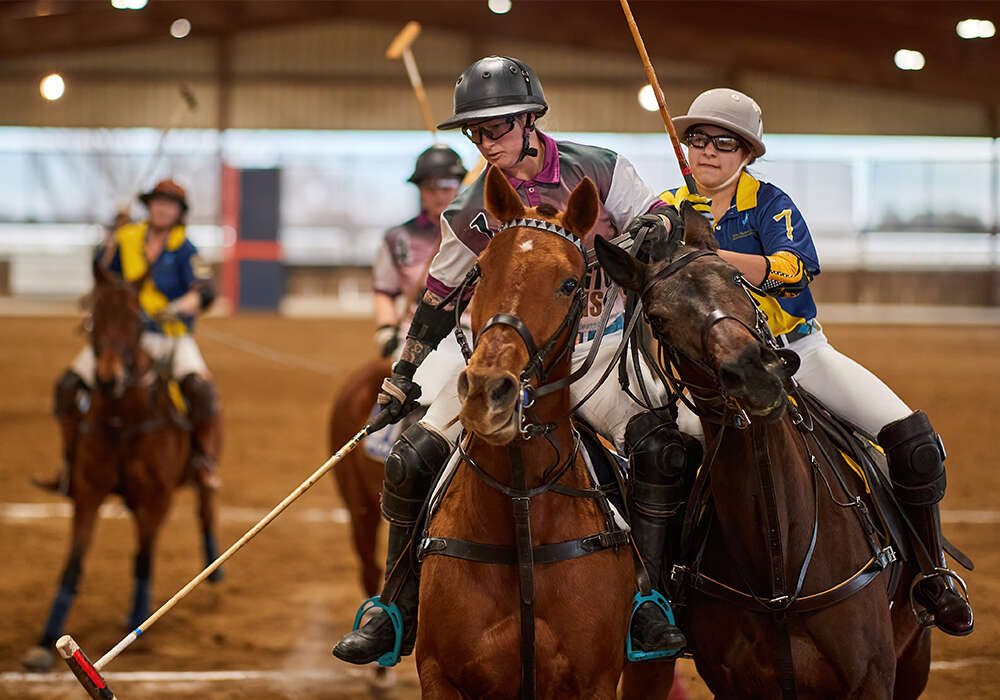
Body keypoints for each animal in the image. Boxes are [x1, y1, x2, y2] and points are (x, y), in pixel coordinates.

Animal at [20, 264, 223, 672]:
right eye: (94, 317)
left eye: (135, 318)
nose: (108, 378)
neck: (121, 419)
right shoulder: (88, 493)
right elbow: (73, 565)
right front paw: (45, 642)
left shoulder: (156, 497)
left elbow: (143, 560)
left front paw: (137, 621)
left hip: (202, 460)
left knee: (205, 508)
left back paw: (215, 572)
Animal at [414, 168, 672, 700]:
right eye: (481, 271)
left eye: (570, 284)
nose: (488, 392)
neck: (520, 509)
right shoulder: (438, 674)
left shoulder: (594, 681)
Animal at [592, 205, 928, 696]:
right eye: (656, 317)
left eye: (735, 278)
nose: (754, 373)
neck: (779, 561)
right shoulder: (734, 683)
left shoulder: (873, 677)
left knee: (915, 442)